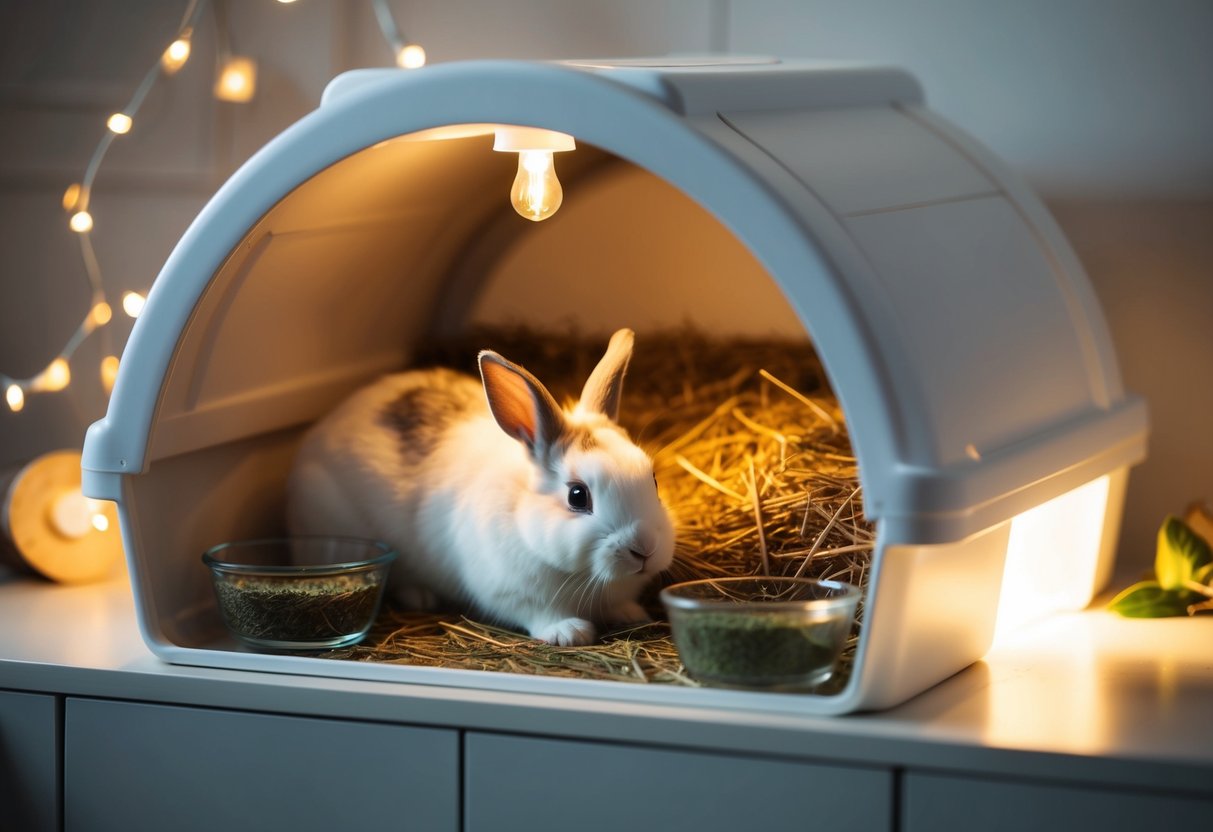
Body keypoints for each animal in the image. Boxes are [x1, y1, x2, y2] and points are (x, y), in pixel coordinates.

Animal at [286, 328, 675, 646]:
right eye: (577, 496)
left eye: (654, 479)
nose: (644, 549)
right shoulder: (510, 593)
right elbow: (536, 614)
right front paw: (569, 632)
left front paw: (630, 614)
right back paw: (421, 596)